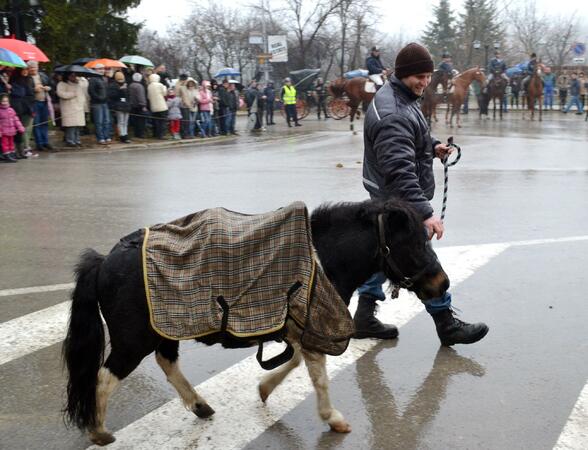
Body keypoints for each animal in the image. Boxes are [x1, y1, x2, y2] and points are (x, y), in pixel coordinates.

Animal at [63, 200, 446, 446]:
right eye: (413, 243)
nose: (442, 285)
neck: (320, 259)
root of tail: (104, 261)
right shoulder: (313, 329)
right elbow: (318, 377)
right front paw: (333, 418)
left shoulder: (301, 331)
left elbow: (295, 362)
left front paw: (264, 388)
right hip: (134, 340)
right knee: (104, 377)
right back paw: (99, 432)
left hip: (165, 328)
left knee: (166, 361)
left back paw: (200, 406)